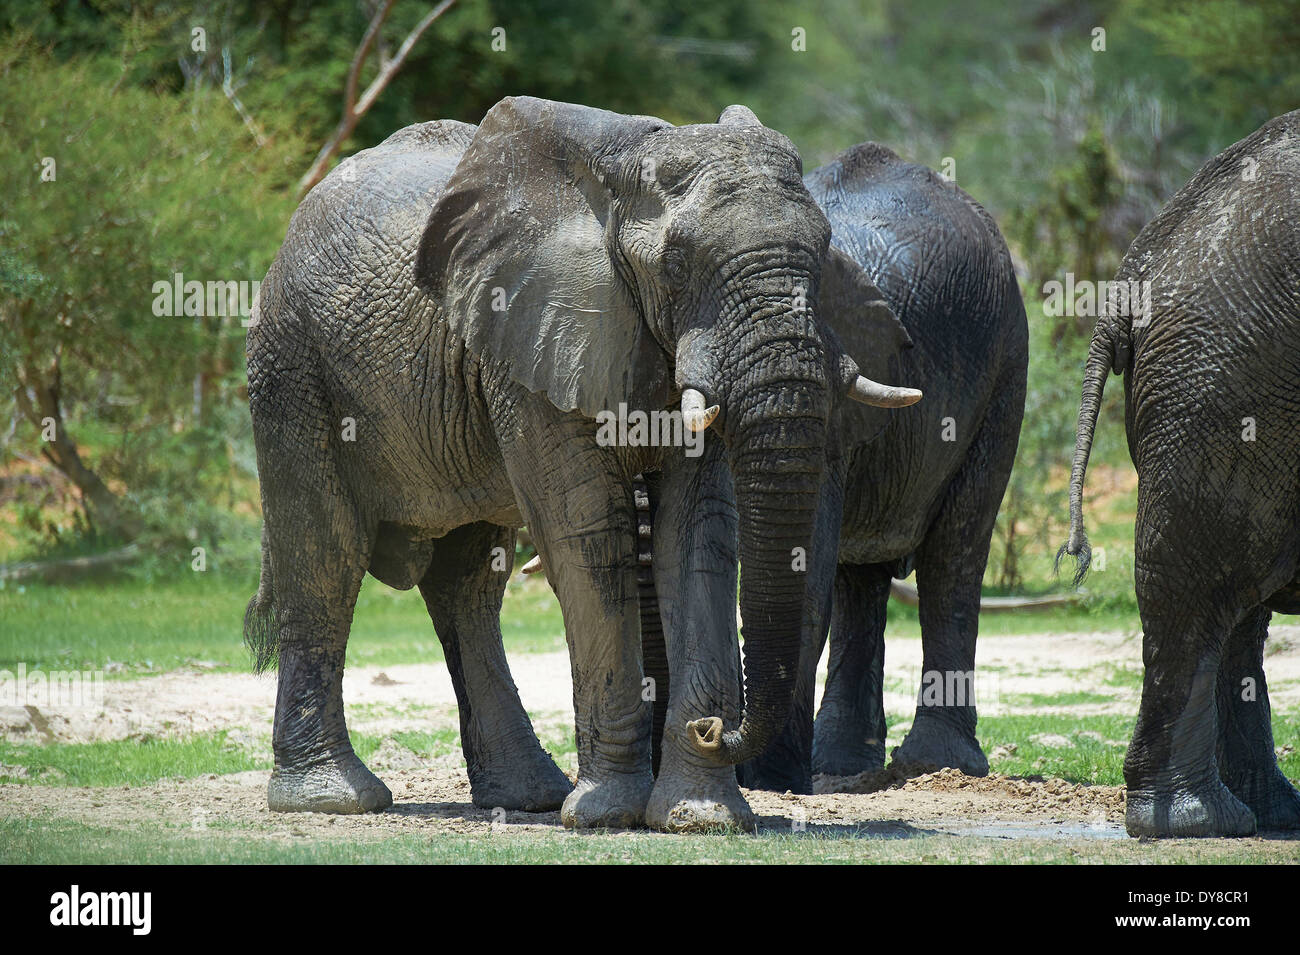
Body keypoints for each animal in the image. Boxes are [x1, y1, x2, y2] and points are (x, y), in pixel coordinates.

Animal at [241, 93, 915, 831]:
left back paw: (525, 795)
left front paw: (700, 815)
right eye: (677, 264)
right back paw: (335, 798)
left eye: (822, 255)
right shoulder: (533, 329)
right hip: (292, 362)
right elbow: (587, 533)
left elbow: (697, 536)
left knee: (468, 584)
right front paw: (605, 815)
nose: (714, 727)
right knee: (324, 558)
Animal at [637, 140, 1024, 789]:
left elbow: (805, 570)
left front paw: (767, 782)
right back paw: (842, 766)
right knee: (861, 579)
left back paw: (937, 764)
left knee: (955, 554)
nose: (707, 731)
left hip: (1006, 361)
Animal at [1060, 108, 1300, 836]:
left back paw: (1267, 811)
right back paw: (1201, 819)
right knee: (1201, 592)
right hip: (1228, 381)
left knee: (1237, 608)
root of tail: (1135, 271)